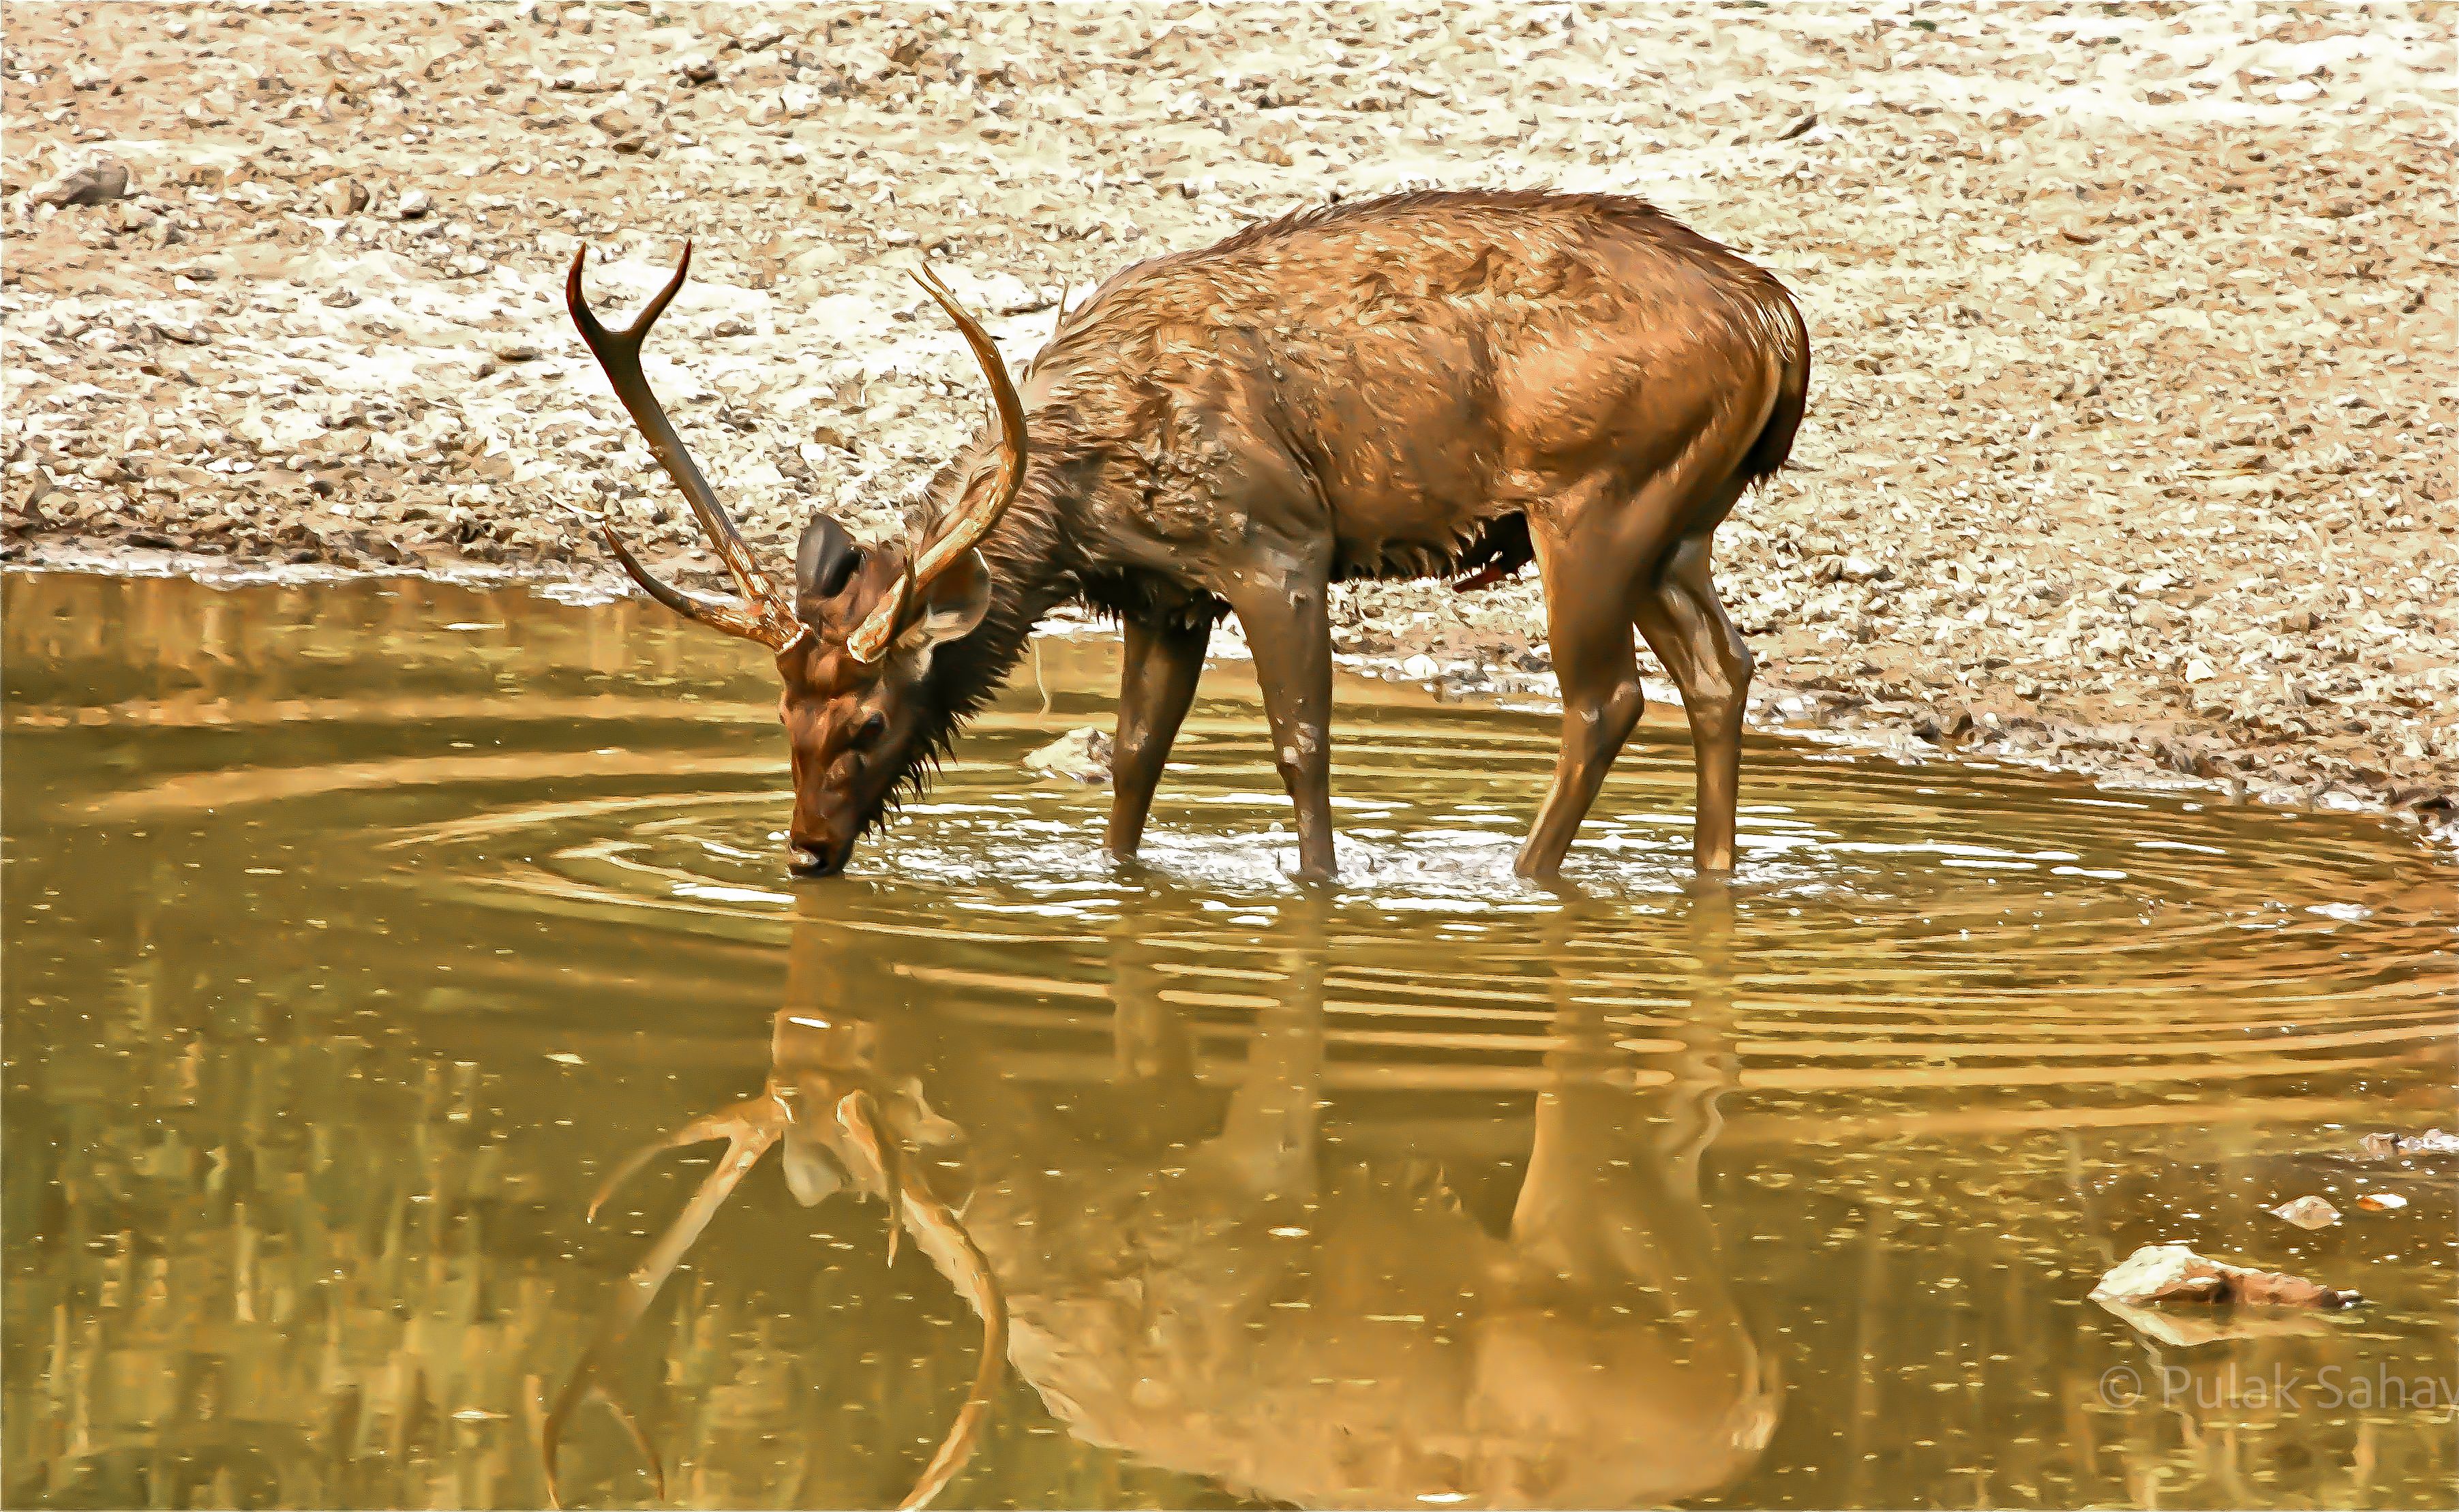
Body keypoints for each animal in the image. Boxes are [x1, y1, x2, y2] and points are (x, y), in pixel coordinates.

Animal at [563, 189, 1809, 881]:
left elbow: (1301, 748)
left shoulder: (1276, 545)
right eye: (781, 717)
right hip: (1675, 519)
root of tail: (1778, 322)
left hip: (1595, 497)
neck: (1081, 499)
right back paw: (1711, 878)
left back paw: (1521, 877)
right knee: (1722, 669)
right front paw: (1117, 880)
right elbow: (1131, 758)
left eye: (869, 719)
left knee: (1606, 697)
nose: (806, 850)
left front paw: (1320, 892)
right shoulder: (1166, 594)